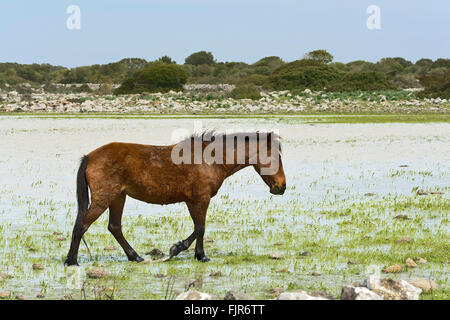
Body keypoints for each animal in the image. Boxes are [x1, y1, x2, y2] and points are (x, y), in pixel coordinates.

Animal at [65, 130, 286, 264]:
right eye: (276, 157)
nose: (282, 187)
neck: (210, 160)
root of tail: (90, 156)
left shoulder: (192, 201)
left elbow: (198, 228)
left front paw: (186, 250)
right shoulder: (200, 199)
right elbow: (201, 228)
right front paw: (193, 253)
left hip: (118, 197)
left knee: (114, 227)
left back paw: (135, 256)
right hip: (104, 198)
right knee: (82, 225)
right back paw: (72, 261)